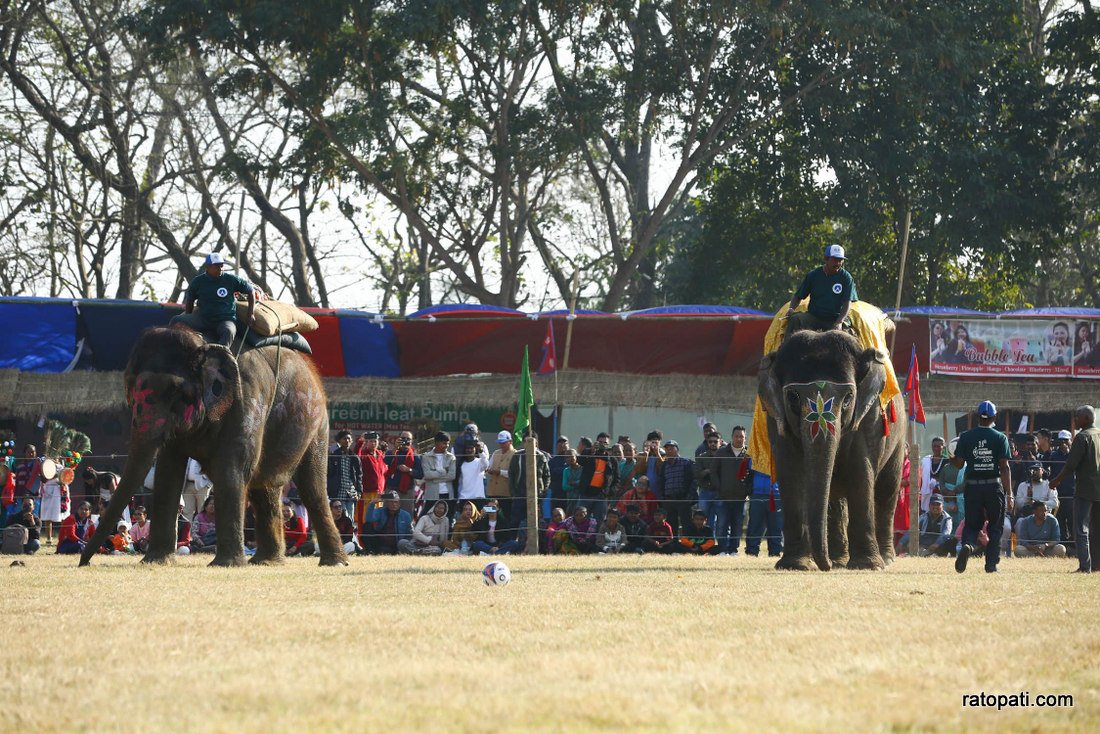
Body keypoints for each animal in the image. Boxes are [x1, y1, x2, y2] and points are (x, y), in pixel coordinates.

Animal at [79, 325, 345, 567]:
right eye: (130, 391)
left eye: (176, 392)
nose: (85, 564)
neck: (203, 343)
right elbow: (168, 471)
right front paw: (155, 561)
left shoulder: (247, 397)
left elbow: (231, 469)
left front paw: (226, 565)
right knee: (264, 487)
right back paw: (267, 562)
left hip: (317, 422)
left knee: (311, 489)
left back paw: (334, 563)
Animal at [761, 330, 906, 572]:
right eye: (792, 397)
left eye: (848, 398)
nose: (825, 566)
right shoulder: (775, 418)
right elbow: (791, 474)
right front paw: (796, 565)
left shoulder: (870, 417)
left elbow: (861, 472)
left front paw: (867, 566)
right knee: (835, 499)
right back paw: (839, 560)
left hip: (900, 439)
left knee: (887, 490)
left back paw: (885, 560)